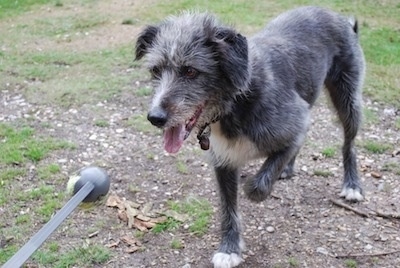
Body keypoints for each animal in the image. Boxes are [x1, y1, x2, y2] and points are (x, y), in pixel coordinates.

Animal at [135, 6, 366, 268]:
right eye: (156, 70)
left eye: (191, 71)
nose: (155, 117)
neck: (236, 100)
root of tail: (336, 15)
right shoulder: (224, 161)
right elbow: (228, 209)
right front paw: (229, 249)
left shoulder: (296, 120)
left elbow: (257, 186)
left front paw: (256, 184)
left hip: (348, 100)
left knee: (348, 144)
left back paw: (352, 185)